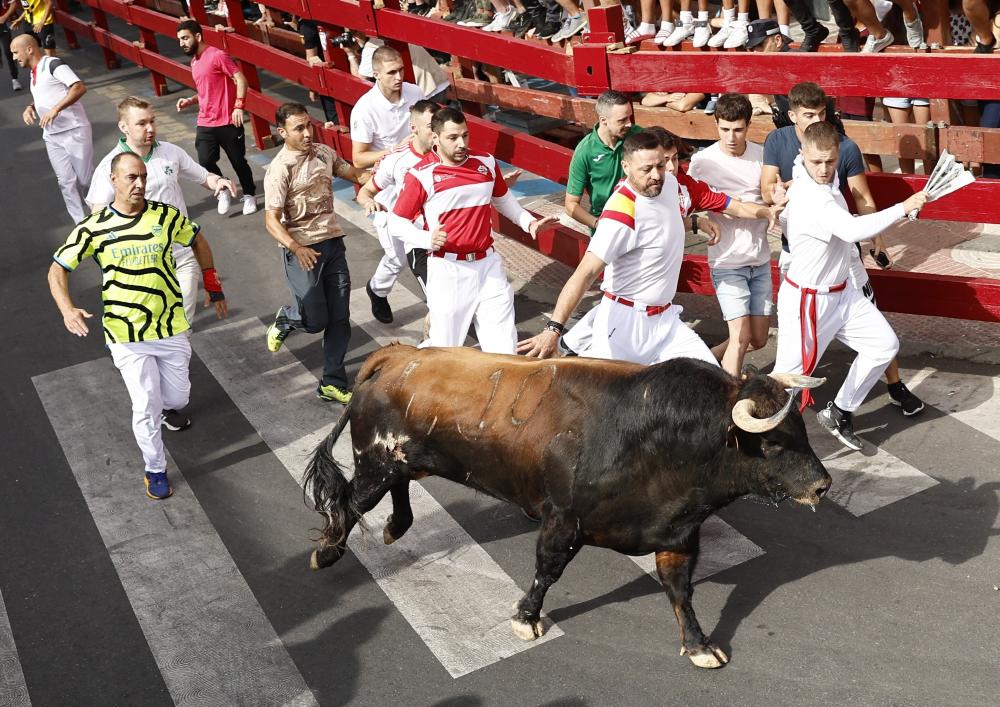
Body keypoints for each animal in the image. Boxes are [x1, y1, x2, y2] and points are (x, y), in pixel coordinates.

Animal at [302, 342, 828, 668]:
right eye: (774, 443)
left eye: (802, 431)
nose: (822, 486)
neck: (654, 440)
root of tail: (400, 355)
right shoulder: (563, 521)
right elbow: (547, 571)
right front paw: (526, 618)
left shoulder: (678, 536)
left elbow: (681, 592)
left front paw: (700, 646)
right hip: (374, 463)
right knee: (350, 502)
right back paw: (327, 551)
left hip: (398, 460)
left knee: (399, 487)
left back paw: (395, 527)